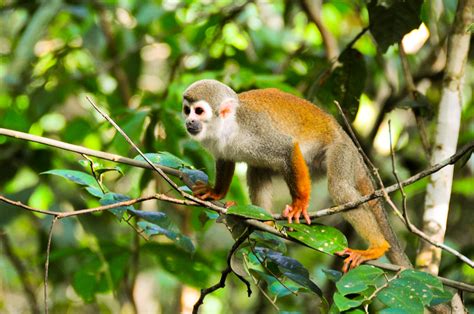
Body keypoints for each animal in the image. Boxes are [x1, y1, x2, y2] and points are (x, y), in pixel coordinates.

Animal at [183, 79, 410, 272]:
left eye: (199, 111)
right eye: (187, 110)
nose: (189, 121)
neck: (228, 128)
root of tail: (346, 137)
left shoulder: (254, 130)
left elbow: (288, 148)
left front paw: (299, 204)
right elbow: (226, 160)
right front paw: (216, 192)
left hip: (340, 150)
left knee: (339, 188)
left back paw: (377, 247)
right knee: (257, 168)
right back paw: (264, 221)